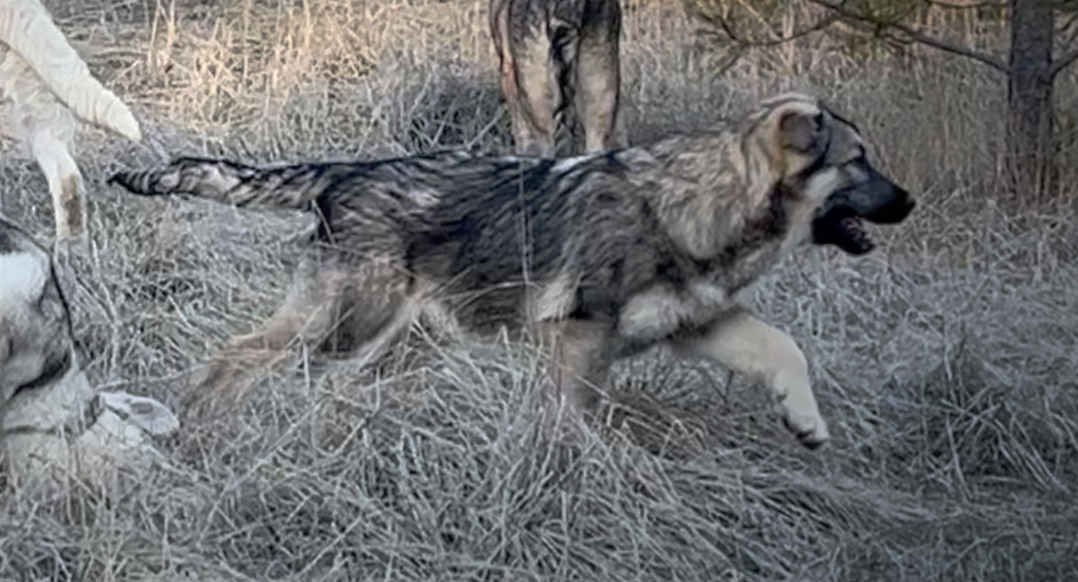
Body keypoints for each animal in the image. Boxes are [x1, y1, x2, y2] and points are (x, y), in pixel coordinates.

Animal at [111, 93, 918, 448]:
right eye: (859, 162)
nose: (910, 201)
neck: (698, 206)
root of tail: (346, 169)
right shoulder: (581, 338)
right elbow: (578, 420)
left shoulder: (699, 324)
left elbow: (786, 349)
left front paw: (807, 422)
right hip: (346, 328)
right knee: (241, 355)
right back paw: (206, 419)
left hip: (401, 342)